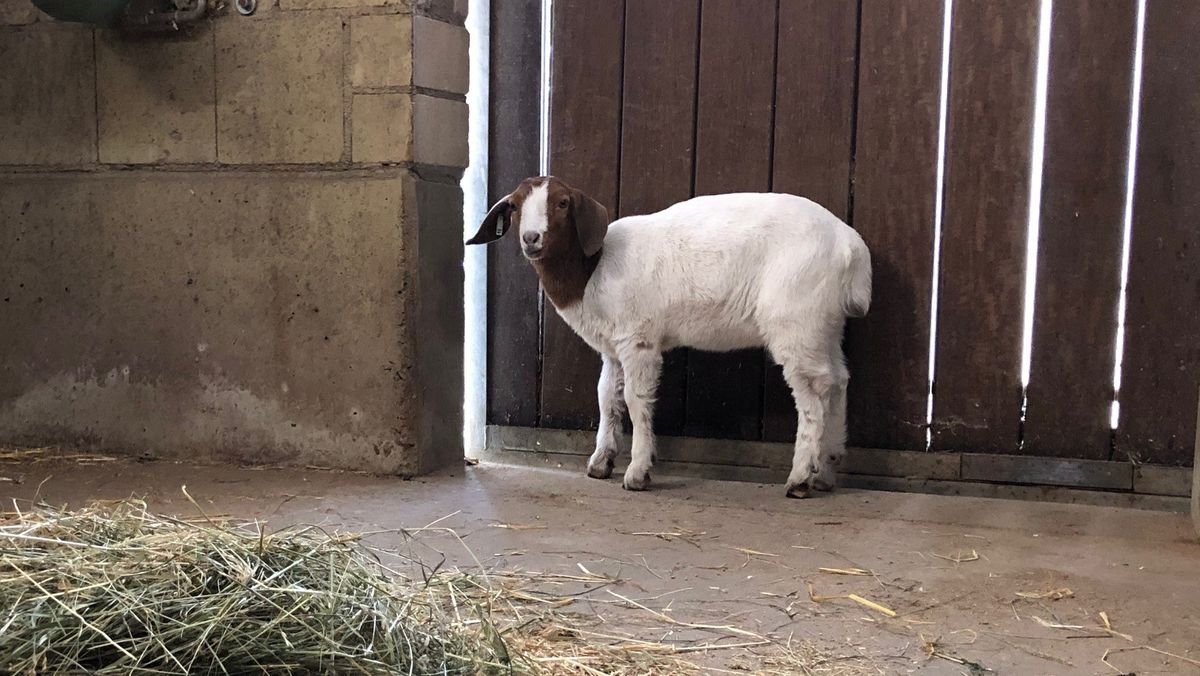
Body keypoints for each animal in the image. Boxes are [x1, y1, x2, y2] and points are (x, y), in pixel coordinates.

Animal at [467, 176, 871, 497]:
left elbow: (636, 400)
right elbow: (606, 398)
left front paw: (638, 472)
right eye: (515, 206)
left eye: (563, 203)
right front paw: (600, 462)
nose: (531, 238)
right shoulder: (613, 348)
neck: (592, 268)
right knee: (838, 380)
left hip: (795, 319)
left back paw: (801, 477)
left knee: (813, 395)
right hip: (823, 324)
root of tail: (851, 248)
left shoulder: (638, 340)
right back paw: (827, 469)